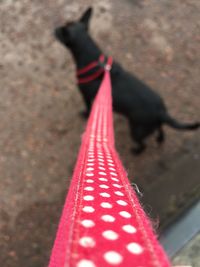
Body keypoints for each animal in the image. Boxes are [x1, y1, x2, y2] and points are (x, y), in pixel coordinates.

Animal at [54, 7, 199, 154]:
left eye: (61, 32)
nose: (54, 29)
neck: (91, 58)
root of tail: (161, 112)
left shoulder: (85, 95)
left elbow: (88, 107)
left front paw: (85, 114)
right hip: (152, 126)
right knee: (161, 130)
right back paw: (159, 140)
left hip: (136, 131)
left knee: (143, 144)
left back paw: (136, 151)